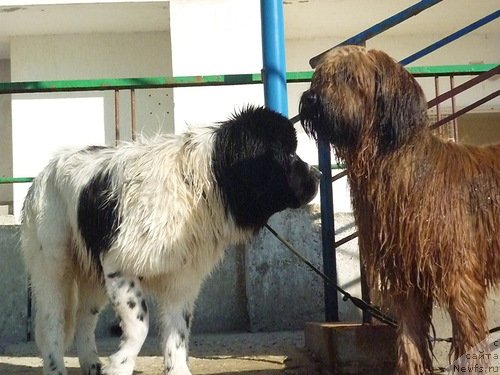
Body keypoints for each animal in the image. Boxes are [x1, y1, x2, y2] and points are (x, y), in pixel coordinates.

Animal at [20, 106, 320, 375]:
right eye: (289, 154)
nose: (317, 174)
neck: (200, 185)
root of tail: (43, 172)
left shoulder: (181, 279)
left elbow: (178, 333)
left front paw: (176, 369)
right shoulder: (120, 266)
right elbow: (140, 325)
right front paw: (120, 365)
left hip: (91, 271)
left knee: (84, 318)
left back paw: (92, 364)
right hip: (54, 263)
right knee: (52, 323)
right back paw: (56, 368)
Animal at [298, 45, 500, 374]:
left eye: (349, 77)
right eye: (320, 77)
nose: (311, 99)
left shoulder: (460, 276)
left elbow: (468, 339)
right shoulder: (406, 274)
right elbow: (409, 338)